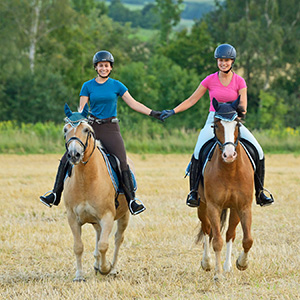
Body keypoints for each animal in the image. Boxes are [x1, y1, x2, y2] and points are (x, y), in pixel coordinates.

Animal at [62, 103, 129, 282]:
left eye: (86, 130)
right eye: (65, 130)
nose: (74, 154)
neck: (86, 180)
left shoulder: (107, 217)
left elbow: (104, 245)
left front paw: (106, 268)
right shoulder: (73, 217)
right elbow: (78, 246)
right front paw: (79, 276)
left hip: (124, 215)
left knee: (117, 239)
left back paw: (112, 269)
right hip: (95, 221)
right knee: (99, 237)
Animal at [198, 98, 254, 282]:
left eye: (237, 124)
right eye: (216, 125)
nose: (229, 155)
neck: (230, 170)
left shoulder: (244, 206)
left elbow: (247, 240)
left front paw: (241, 263)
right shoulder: (213, 206)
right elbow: (216, 240)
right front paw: (217, 274)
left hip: (234, 209)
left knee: (230, 233)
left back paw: (228, 266)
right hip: (202, 207)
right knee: (207, 230)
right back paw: (207, 263)